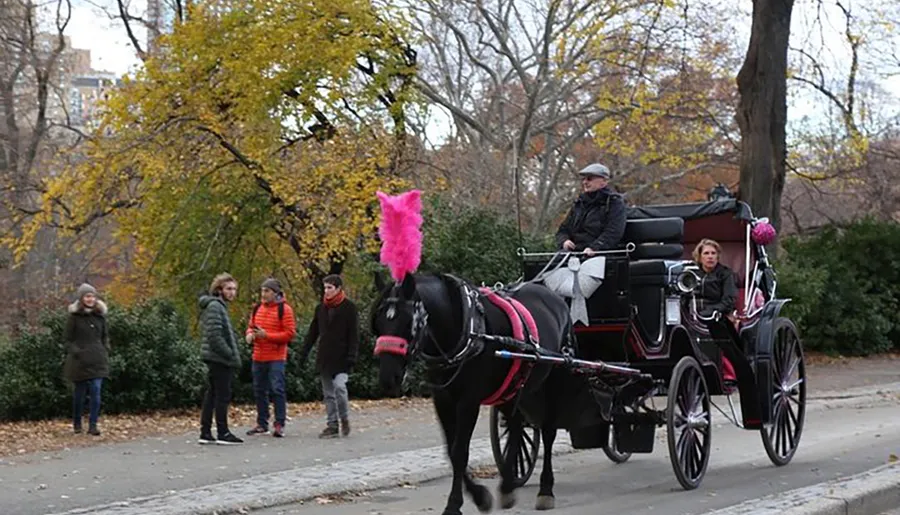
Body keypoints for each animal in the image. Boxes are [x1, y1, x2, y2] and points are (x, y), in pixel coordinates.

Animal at [372, 272, 584, 512]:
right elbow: (451, 451)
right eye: (379, 321)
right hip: (514, 387)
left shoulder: (468, 401)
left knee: (548, 432)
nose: (388, 378)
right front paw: (477, 495)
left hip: (554, 380)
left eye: (409, 321)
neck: (466, 330)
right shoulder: (443, 400)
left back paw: (545, 489)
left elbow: (459, 451)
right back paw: (508, 485)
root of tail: (557, 299)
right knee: (515, 427)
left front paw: (457, 502)